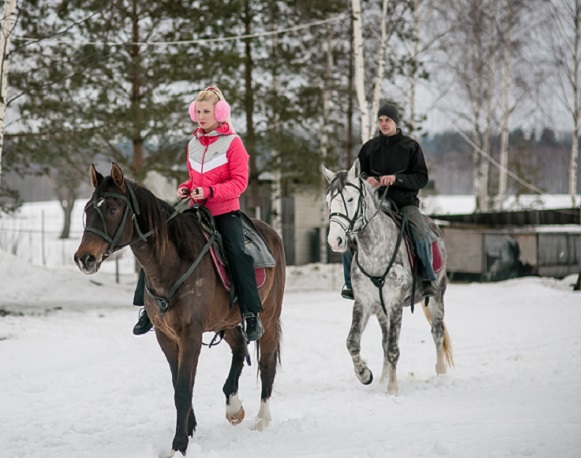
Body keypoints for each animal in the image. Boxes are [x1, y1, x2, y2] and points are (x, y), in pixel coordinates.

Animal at [72, 163, 286, 456]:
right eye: (88, 209)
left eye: (113, 209)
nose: (84, 258)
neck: (171, 263)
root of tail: (272, 233)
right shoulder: (166, 337)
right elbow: (178, 385)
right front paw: (190, 428)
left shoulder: (190, 335)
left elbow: (184, 388)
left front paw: (179, 445)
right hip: (226, 321)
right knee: (240, 349)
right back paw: (234, 407)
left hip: (269, 318)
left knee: (266, 363)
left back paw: (262, 419)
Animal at [322, 161, 454, 394]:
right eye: (328, 201)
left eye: (350, 199)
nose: (334, 240)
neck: (374, 250)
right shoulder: (364, 302)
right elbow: (353, 342)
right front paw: (365, 374)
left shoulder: (394, 303)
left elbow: (393, 347)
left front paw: (392, 389)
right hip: (381, 310)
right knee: (384, 340)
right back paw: (383, 377)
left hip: (437, 298)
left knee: (437, 332)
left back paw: (440, 374)